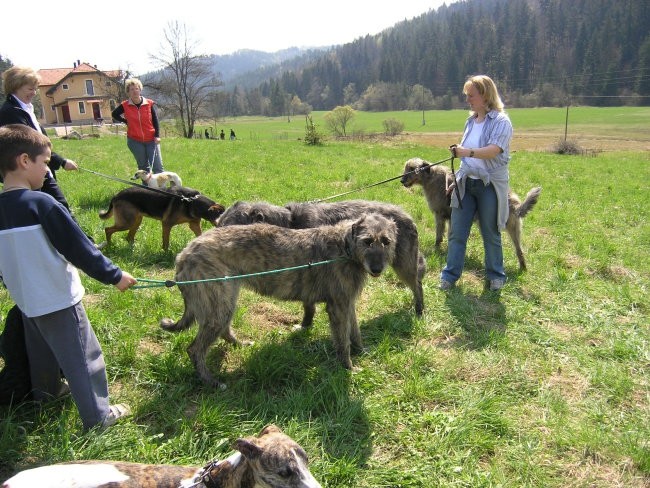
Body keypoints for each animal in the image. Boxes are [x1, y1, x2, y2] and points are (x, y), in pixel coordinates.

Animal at [161, 213, 394, 386]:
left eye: (386, 241)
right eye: (367, 241)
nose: (377, 269)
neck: (345, 246)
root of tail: (184, 255)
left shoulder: (348, 302)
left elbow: (355, 331)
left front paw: (361, 351)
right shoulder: (338, 306)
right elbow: (343, 340)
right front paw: (348, 367)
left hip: (225, 298)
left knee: (224, 328)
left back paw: (239, 344)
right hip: (216, 300)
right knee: (195, 349)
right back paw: (211, 381)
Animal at [215, 198, 422, 324]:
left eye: (228, 228)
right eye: (218, 224)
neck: (290, 223)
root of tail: (408, 217)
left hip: (403, 263)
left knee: (417, 284)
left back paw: (419, 310)